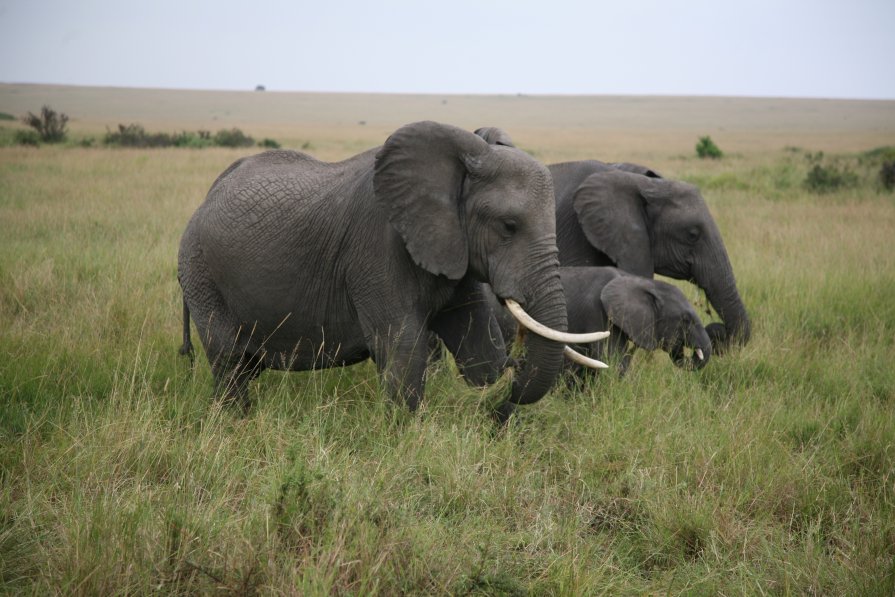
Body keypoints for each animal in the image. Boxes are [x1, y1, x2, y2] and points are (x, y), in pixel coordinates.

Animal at [178, 121, 604, 420]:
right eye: (508, 226)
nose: (517, 369)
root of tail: (205, 199)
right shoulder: (377, 247)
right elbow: (403, 349)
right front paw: (403, 433)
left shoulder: (452, 249)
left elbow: (480, 351)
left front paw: (497, 379)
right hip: (200, 272)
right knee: (230, 361)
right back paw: (237, 421)